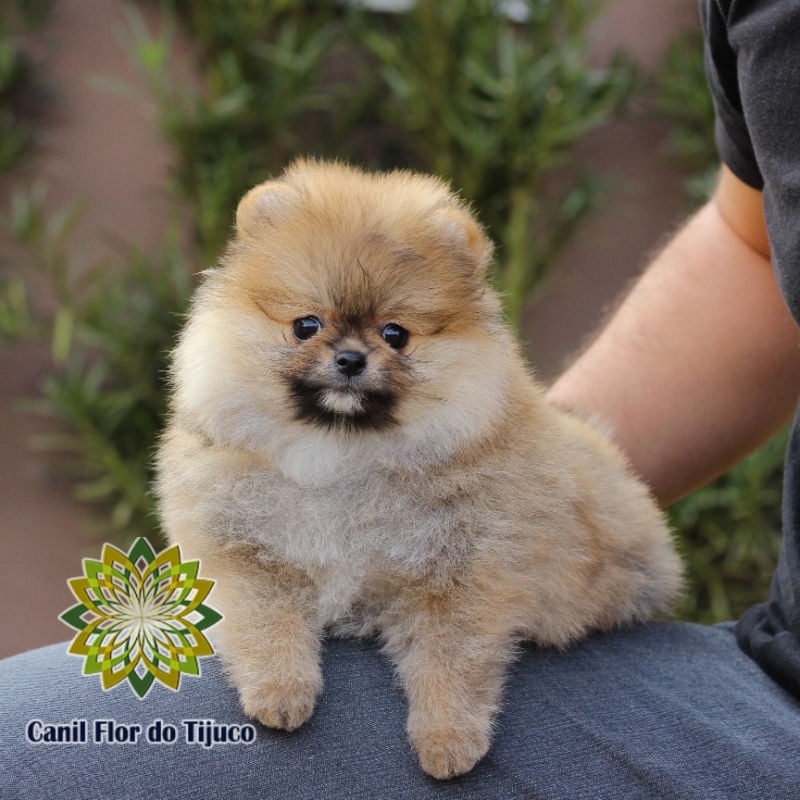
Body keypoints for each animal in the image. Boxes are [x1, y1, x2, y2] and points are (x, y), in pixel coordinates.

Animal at [156, 159, 680, 780]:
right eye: (306, 325)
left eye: (395, 334)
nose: (350, 358)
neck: (342, 452)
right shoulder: (245, 547)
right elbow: (268, 624)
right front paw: (280, 693)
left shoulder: (462, 574)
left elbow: (450, 663)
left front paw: (447, 740)